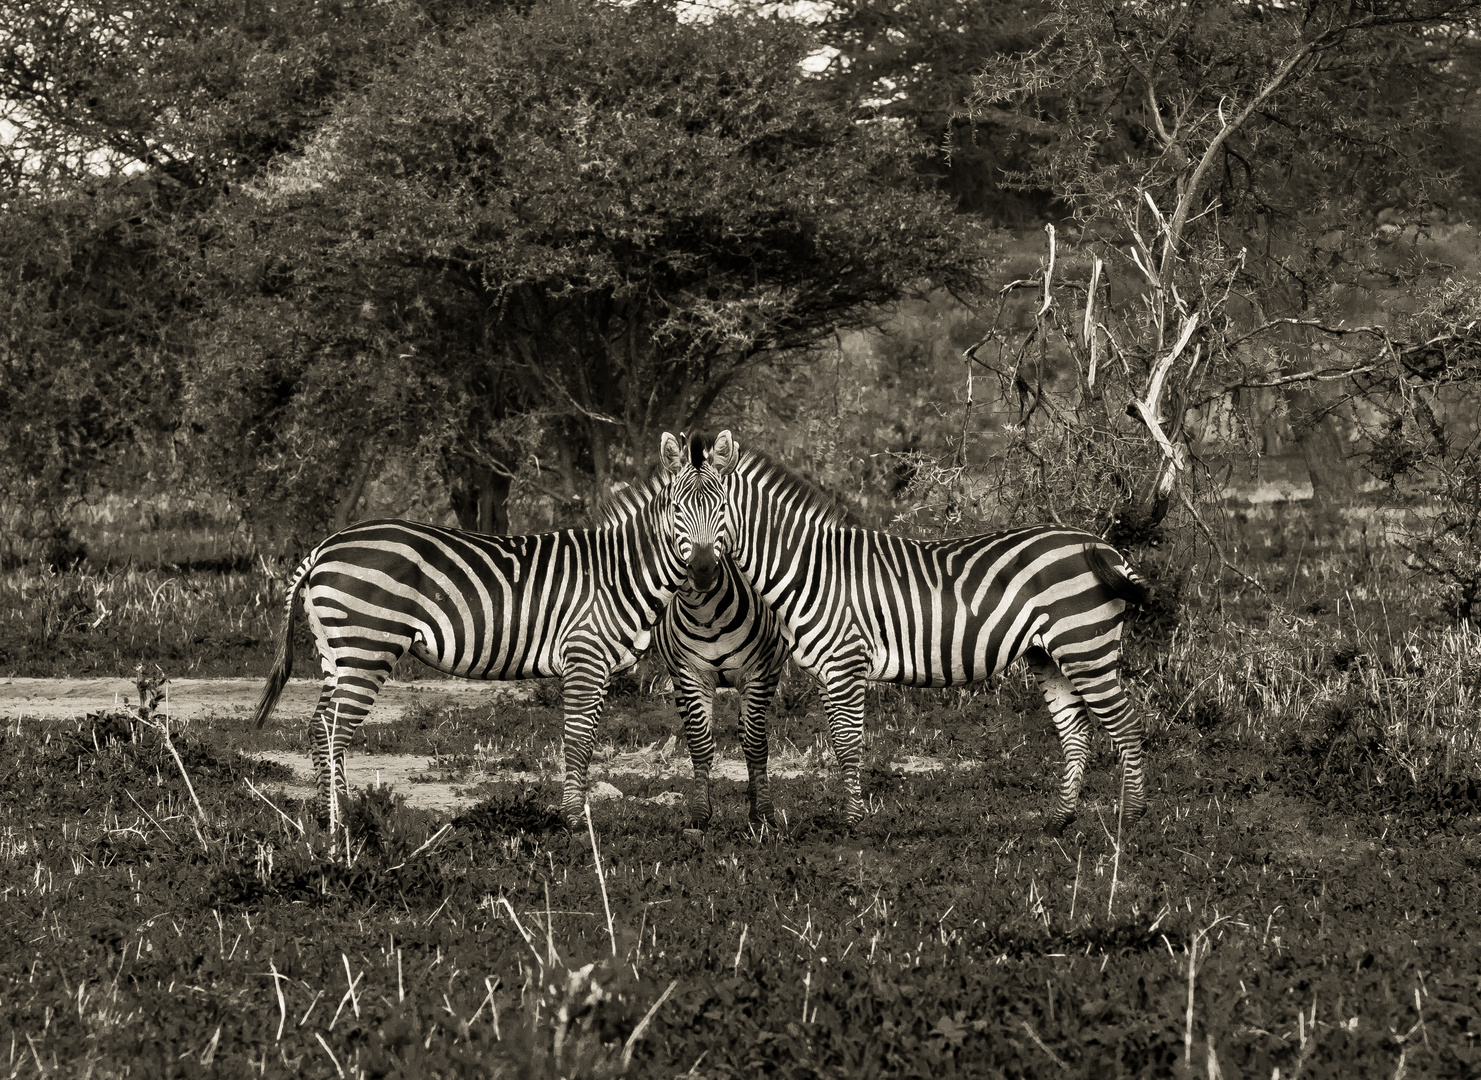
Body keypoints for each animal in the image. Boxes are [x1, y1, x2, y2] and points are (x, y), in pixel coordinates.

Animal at [253, 429, 728, 823]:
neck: (620, 570)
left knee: (319, 727)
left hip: (337, 652)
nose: (705, 571)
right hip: (368, 647)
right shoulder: (585, 657)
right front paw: (575, 824)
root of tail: (324, 547)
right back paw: (342, 822)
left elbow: (587, 740)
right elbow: (578, 741)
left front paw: (575, 817)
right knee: (331, 730)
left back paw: (331, 815)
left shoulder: (599, 667)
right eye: (678, 509)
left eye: (722, 508)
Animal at [598, 438, 799, 823]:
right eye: (675, 508)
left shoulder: (759, 671)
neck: (707, 613)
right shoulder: (690, 674)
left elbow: (755, 742)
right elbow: (700, 743)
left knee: (751, 733)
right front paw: (699, 815)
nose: (703, 570)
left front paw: (764, 813)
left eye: (723, 507)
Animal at [675, 429, 1155, 835]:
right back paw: (1058, 821)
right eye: (675, 510)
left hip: (1085, 646)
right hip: (1049, 654)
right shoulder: (830, 672)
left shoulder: (846, 664)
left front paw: (851, 824)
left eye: (720, 509)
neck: (810, 568)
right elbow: (839, 744)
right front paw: (850, 817)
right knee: (1076, 733)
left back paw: (1131, 820)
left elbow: (848, 744)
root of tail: (1103, 546)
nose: (701, 572)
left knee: (1126, 725)